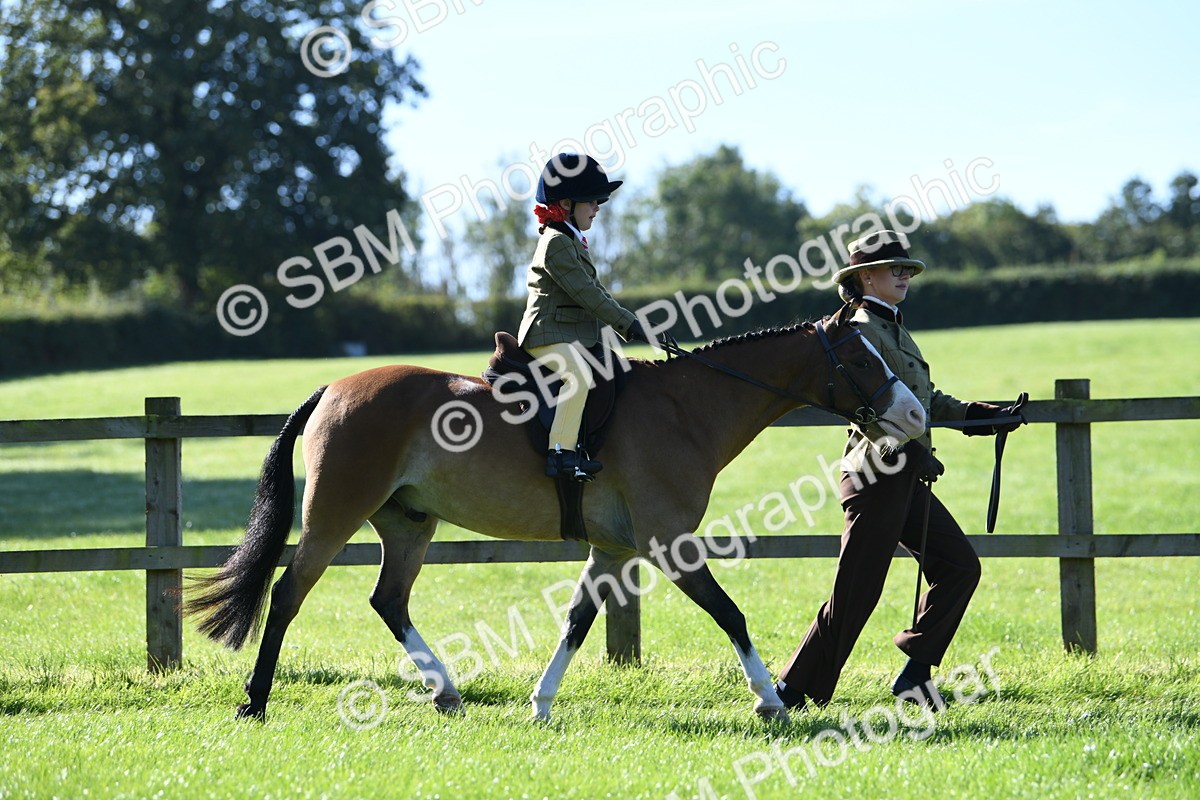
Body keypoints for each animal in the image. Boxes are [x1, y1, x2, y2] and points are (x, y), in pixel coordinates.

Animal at [184, 306, 926, 724]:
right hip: (335, 513)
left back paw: (446, 693)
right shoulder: (669, 542)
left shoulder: (614, 550)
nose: (917, 415)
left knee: (388, 600)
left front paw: (541, 704)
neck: (687, 408)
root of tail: (335, 387)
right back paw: (255, 700)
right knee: (287, 594)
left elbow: (576, 621)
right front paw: (769, 699)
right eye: (862, 359)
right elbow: (730, 613)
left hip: (408, 523)